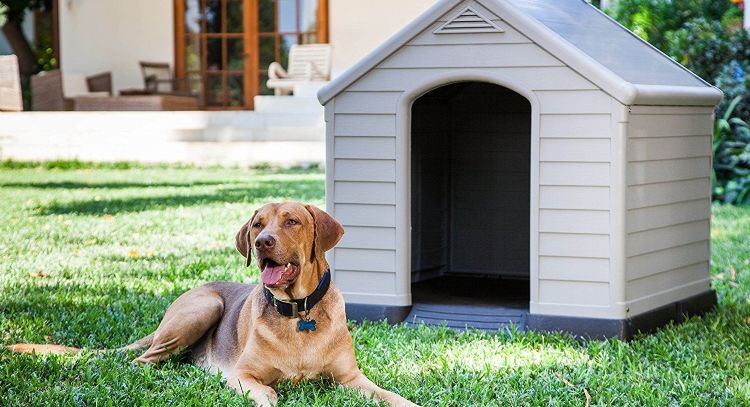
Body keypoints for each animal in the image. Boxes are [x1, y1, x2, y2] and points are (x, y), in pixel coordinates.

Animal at [7, 204, 418, 407]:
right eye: (257, 224)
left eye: (292, 221)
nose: (263, 242)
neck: (299, 312)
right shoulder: (243, 374)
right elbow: (265, 393)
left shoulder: (351, 379)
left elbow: (392, 397)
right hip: (202, 307)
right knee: (143, 361)